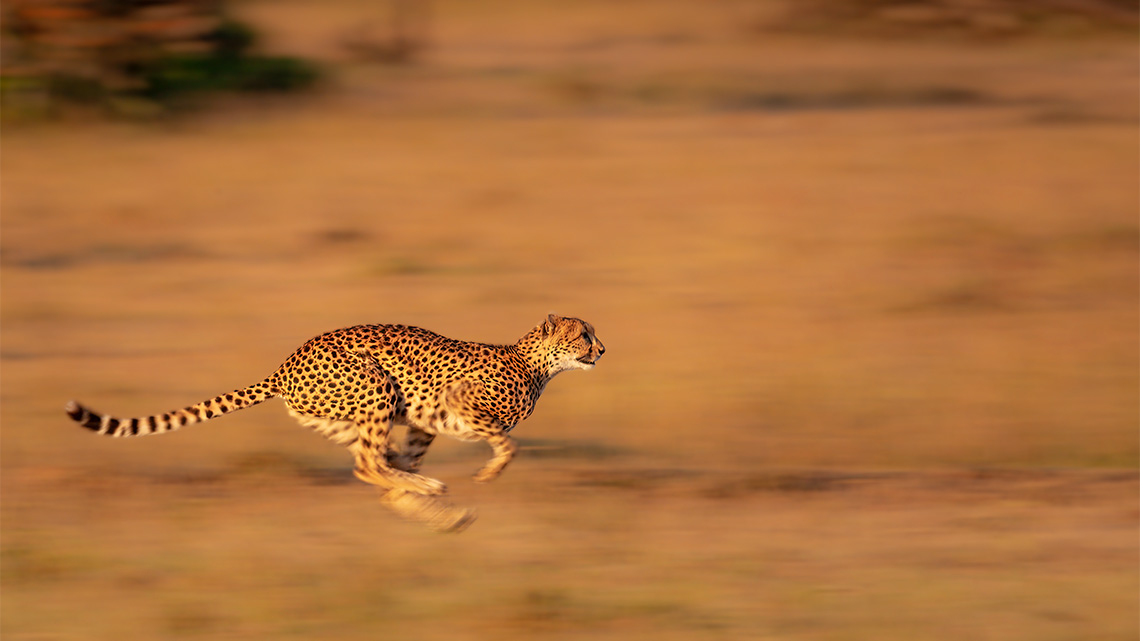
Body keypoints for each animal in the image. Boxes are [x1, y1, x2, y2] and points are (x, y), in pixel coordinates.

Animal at [66, 314, 604, 514]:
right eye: (583, 334)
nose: (603, 349)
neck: (535, 362)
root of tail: (286, 364)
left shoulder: (425, 423)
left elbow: (408, 457)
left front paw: (420, 495)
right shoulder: (456, 404)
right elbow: (509, 442)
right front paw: (488, 474)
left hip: (353, 417)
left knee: (370, 465)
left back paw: (423, 498)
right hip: (376, 386)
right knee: (368, 463)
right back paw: (427, 492)